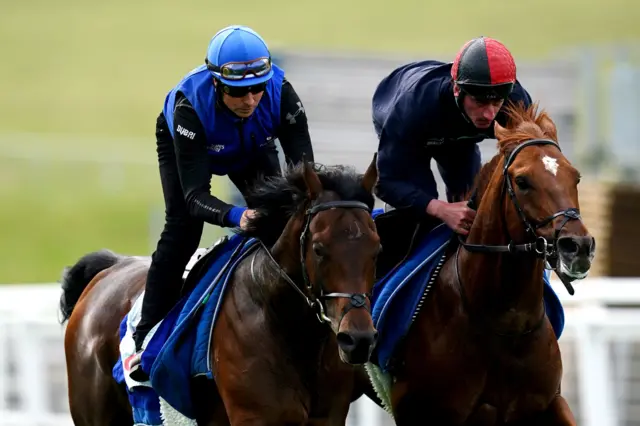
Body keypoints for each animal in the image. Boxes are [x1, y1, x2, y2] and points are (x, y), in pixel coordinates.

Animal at [60, 157, 382, 426]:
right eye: (318, 248)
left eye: (376, 248)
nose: (358, 339)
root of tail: (110, 267)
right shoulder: (258, 417)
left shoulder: (326, 417)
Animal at [360, 104, 596, 426]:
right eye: (522, 181)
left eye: (576, 177)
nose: (579, 247)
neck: (505, 323)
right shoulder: (418, 411)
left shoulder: (550, 402)